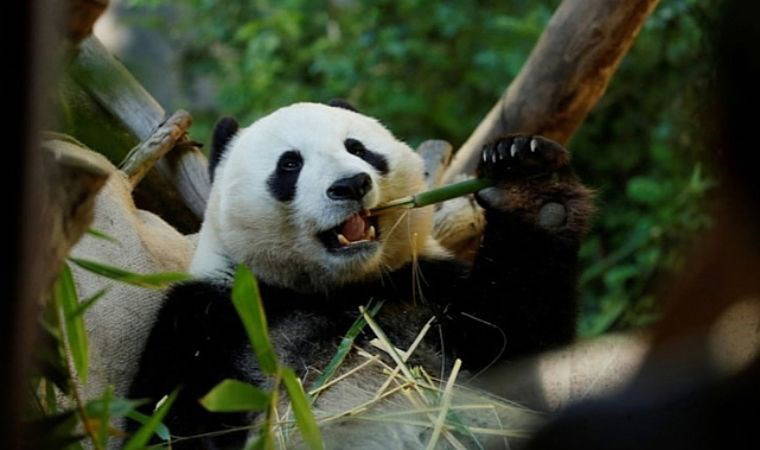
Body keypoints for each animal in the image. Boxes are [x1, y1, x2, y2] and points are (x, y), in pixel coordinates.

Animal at [129, 101, 593, 448]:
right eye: (290, 164)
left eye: (358, 147)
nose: (351, 184)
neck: (337, 288)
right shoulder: (210, 318)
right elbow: (167, 420)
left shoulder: (428, 286)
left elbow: (520, 342)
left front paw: (531, 188)